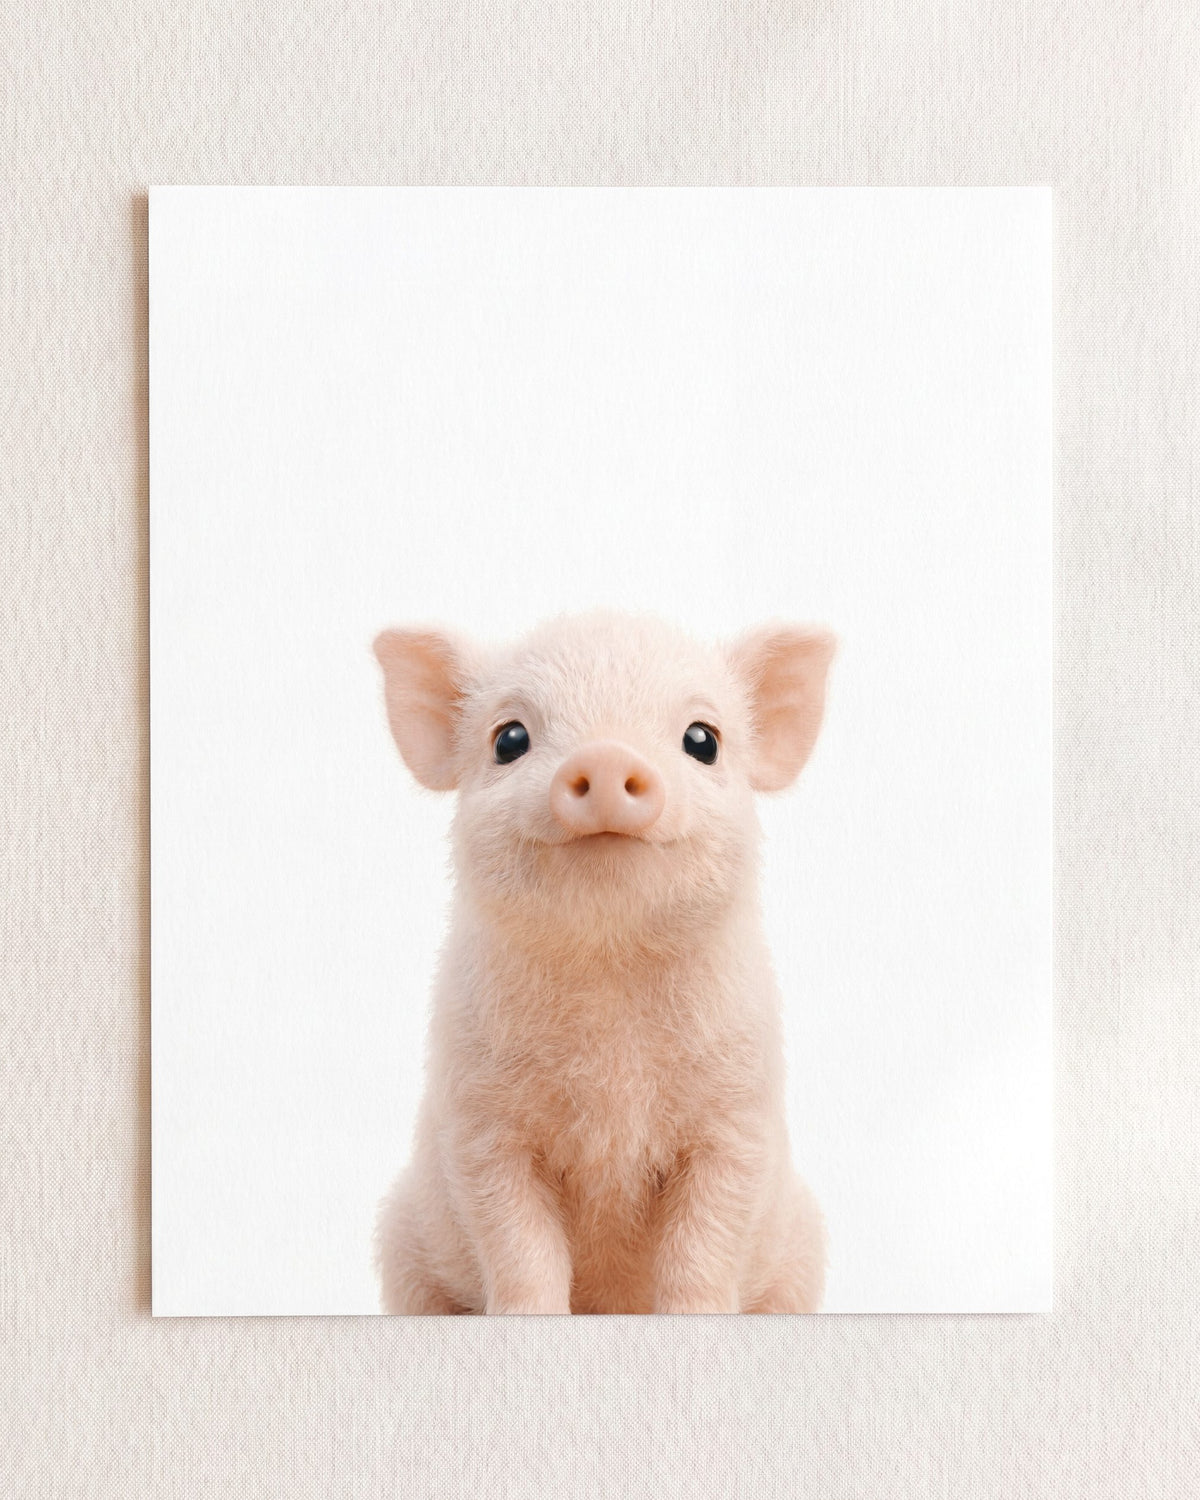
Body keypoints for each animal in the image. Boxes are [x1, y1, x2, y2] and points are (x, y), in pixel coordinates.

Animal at [372, 610, 834, 1314]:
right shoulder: (480, 1125)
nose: (607, 754)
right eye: (510, 738)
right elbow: (518, 1243)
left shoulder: (738, 1119)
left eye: (703, 739)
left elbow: (704, 1244)